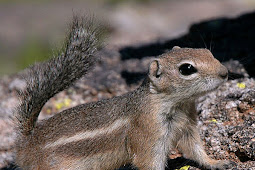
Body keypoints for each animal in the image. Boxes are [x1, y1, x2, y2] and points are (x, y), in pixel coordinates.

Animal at [15, 15, 231, 169]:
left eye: (207, 52)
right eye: (187, 69)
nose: (225, 72)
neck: (176, 104)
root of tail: (26, 143)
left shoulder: (188, 127)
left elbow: (195, 150)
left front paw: (217, 162)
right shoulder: (148, 134)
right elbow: (149, 162)